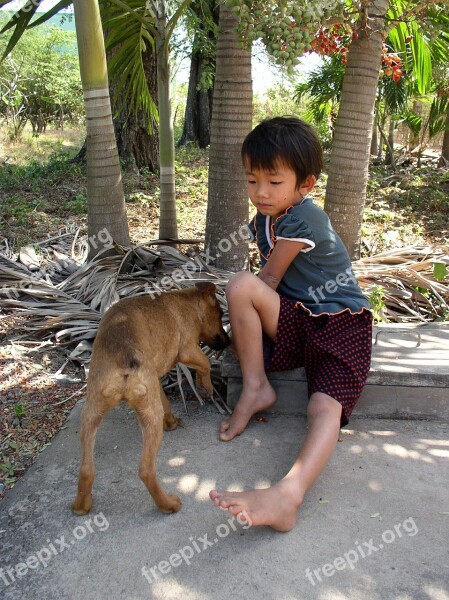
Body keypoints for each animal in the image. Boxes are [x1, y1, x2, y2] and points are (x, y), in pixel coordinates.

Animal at [73, 282, 229, 516]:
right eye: (219, 314)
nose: (229, 342)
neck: (190, 301)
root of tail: (123, 358)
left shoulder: (155, 380)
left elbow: (166, 402)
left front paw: (171, 421)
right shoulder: (188, 350)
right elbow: (206, 364)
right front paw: (206, 386)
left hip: (91, 411)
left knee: (86, 468)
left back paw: (81, 506)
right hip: (149, 418)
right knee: (146, 470)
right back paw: (168, 504)